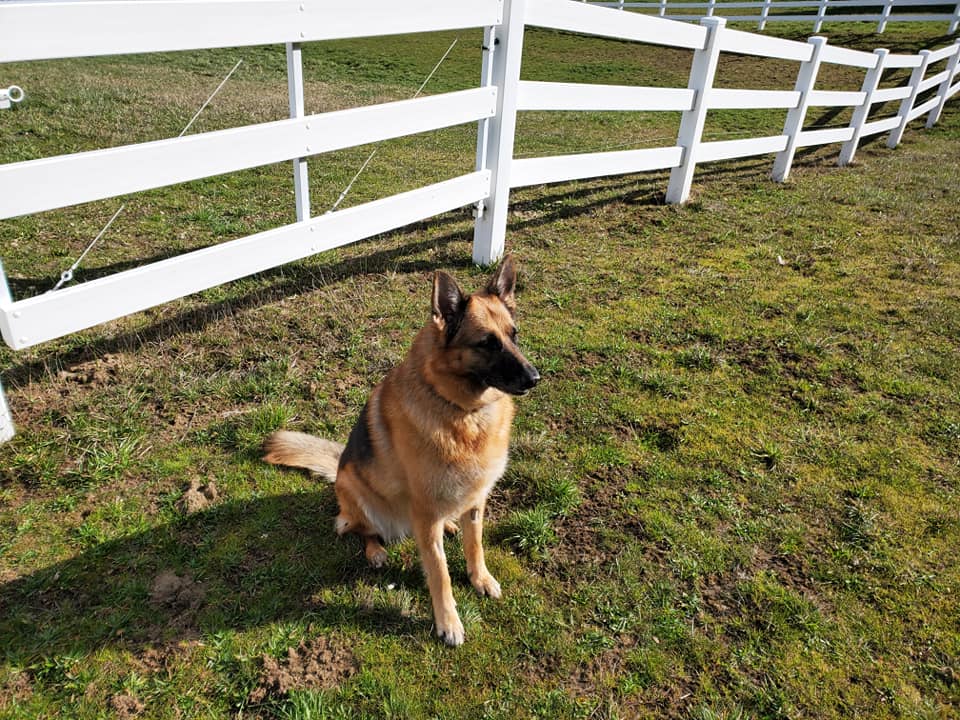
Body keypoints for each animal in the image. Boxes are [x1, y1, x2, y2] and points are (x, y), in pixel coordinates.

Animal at [263, 255, 539, 646]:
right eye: (487, 343)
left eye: (513, 336)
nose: (535, 378)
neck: (463, 412)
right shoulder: (425, 513)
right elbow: (439, 573)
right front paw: (448, 623)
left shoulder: (475, 501)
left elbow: (476, 545)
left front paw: (480, 578)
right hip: (358, 497)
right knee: (358, 530)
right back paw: (377, 550)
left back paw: (448, 525)